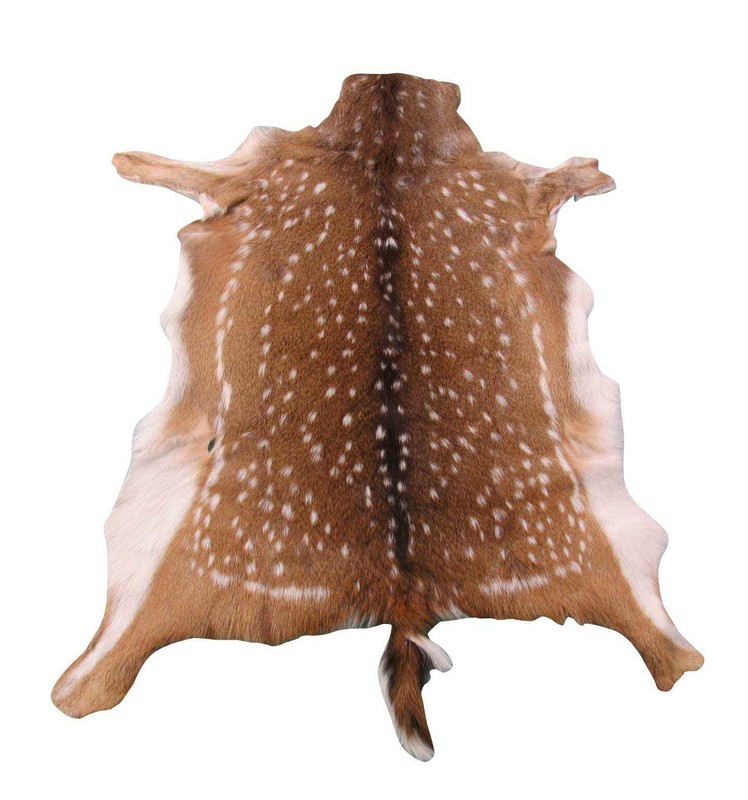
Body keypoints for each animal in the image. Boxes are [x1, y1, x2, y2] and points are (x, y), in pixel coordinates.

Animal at [52, 73, 703, 760]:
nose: (396, 80)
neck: (386, 148)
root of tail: (403, 596)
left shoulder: (255, 160)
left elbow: (188, 168)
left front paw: (126, 158)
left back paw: (70, 687)